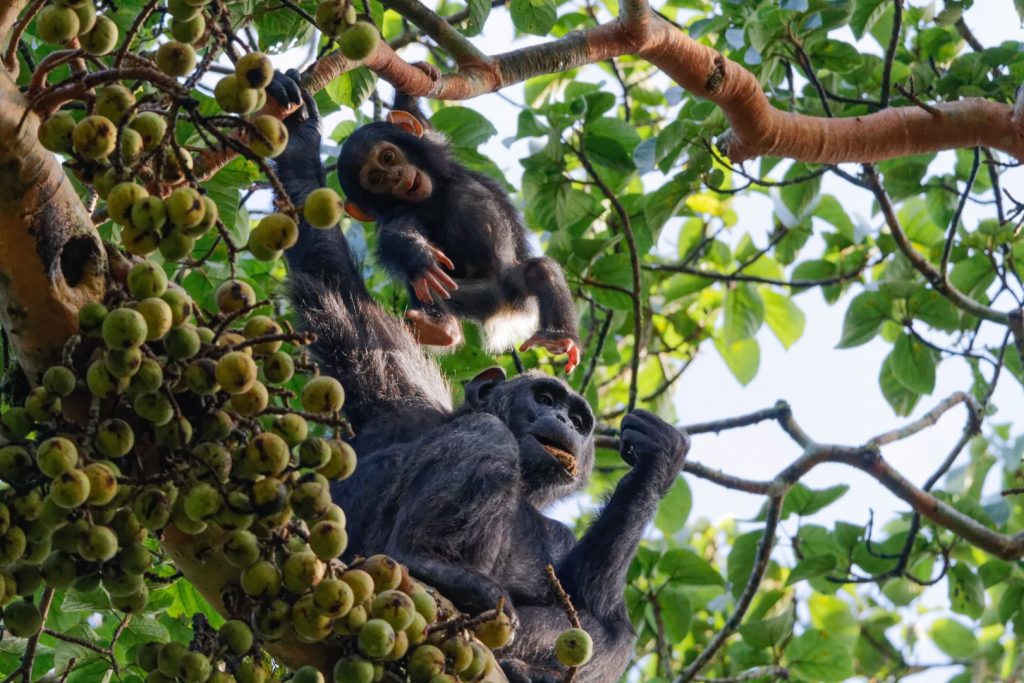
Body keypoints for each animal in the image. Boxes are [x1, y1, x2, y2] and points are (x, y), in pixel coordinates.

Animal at [268, 72, 692, 679]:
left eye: (579, 415)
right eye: (544, 397)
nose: (566, 420)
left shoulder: (559, 537)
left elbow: (594, 610)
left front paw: (659, 456)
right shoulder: (398, 393)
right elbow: (332, 279)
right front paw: (301, 136)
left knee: (609, 632)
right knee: (485, 436)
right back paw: (433, 564)